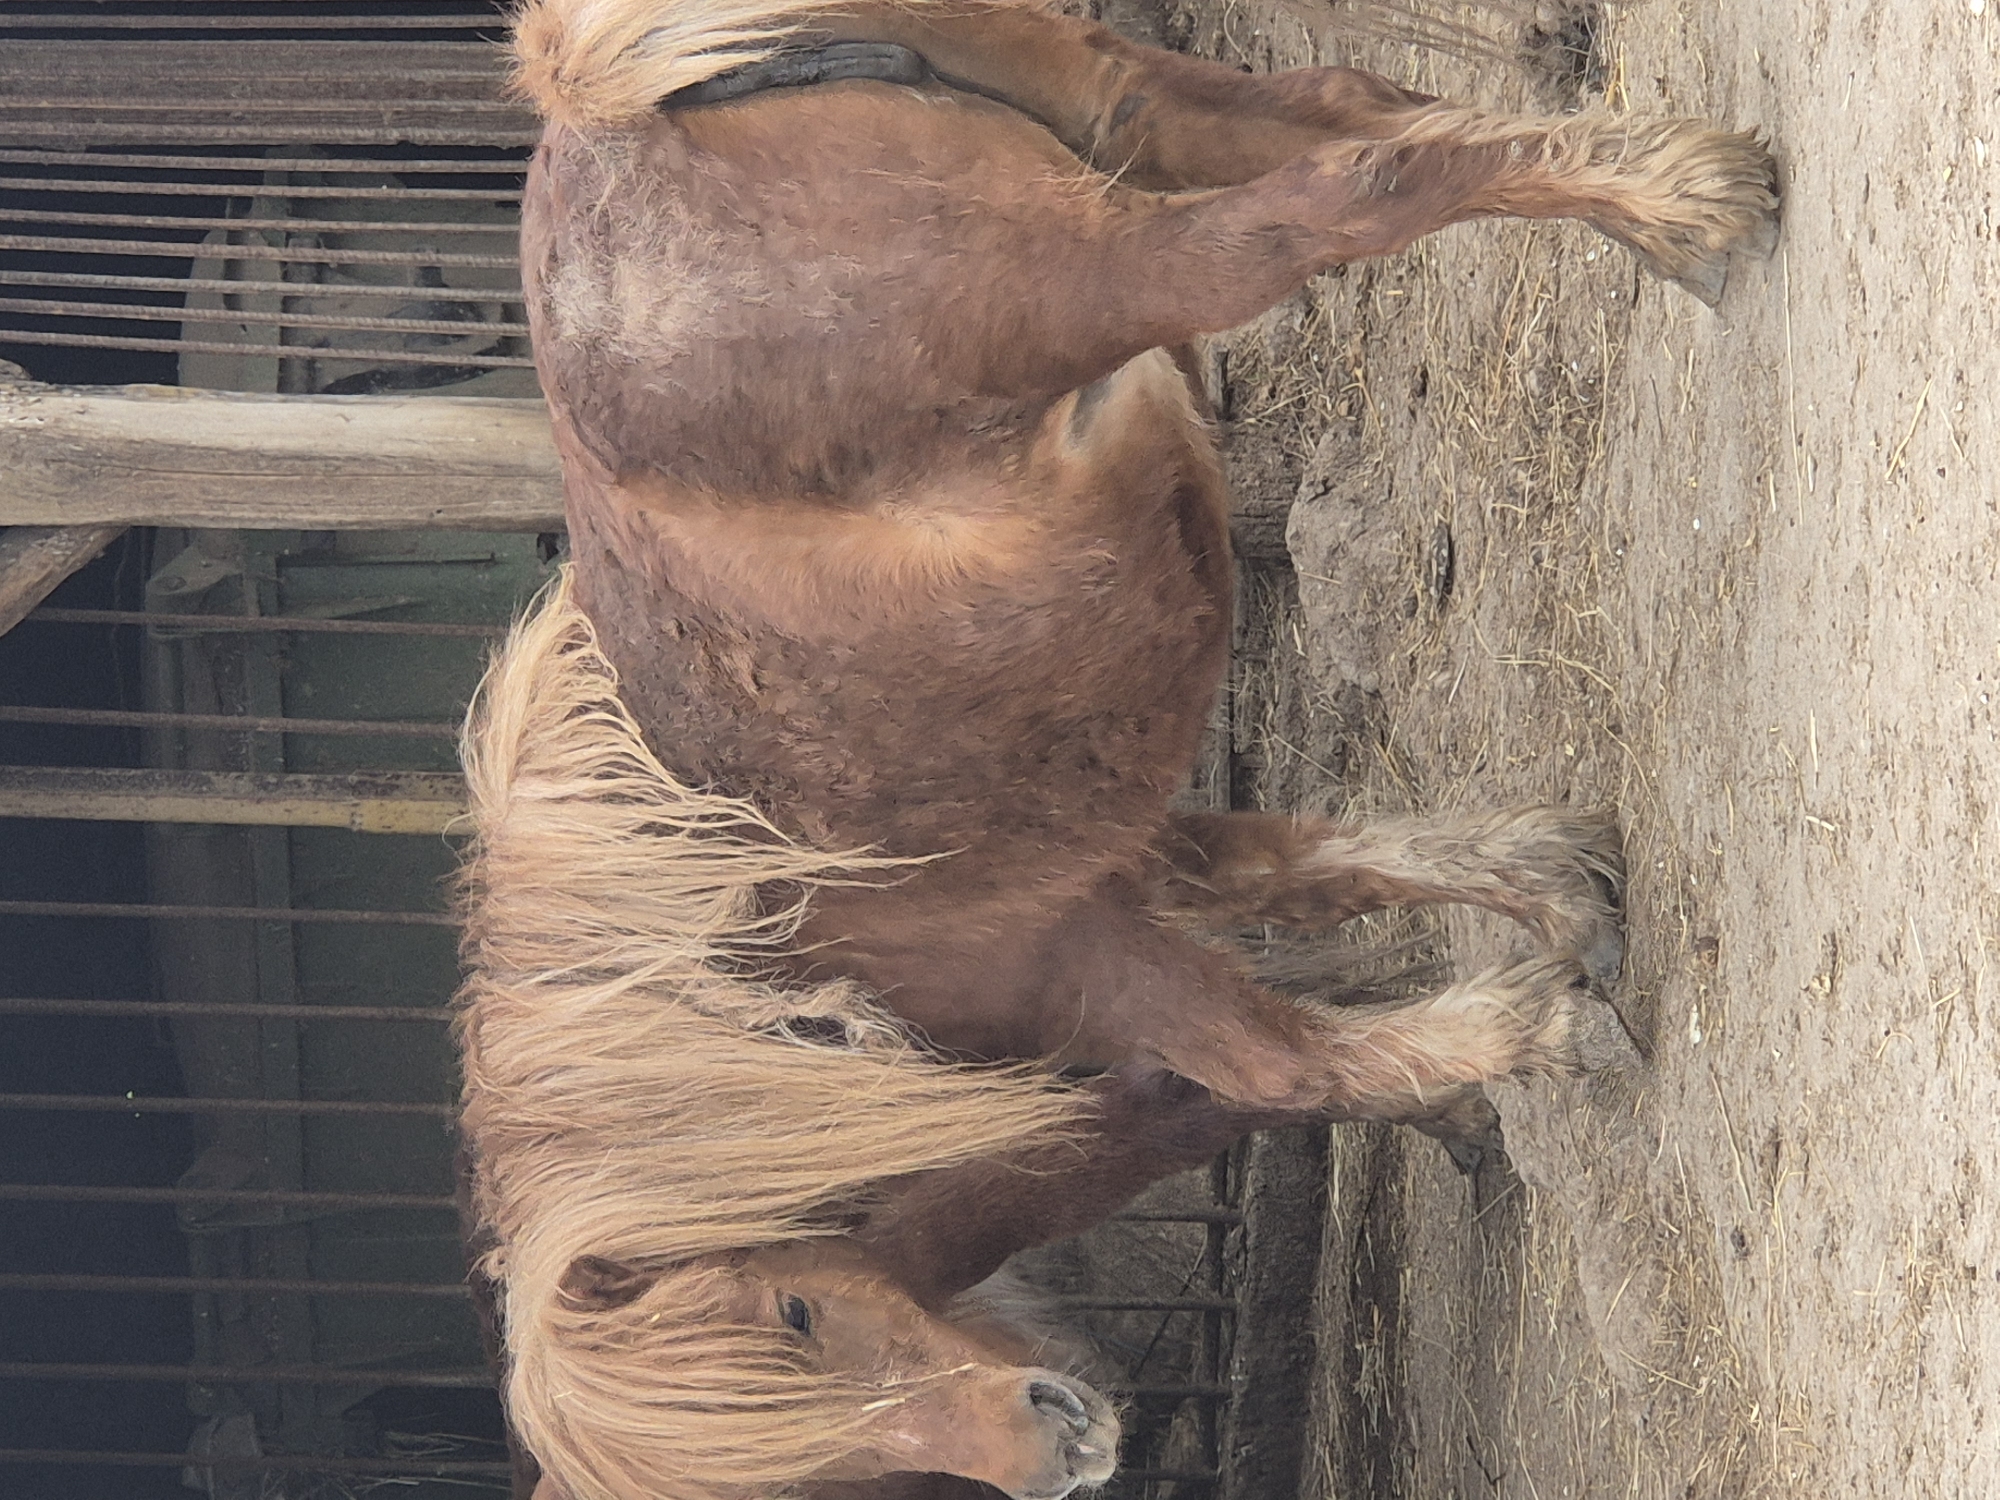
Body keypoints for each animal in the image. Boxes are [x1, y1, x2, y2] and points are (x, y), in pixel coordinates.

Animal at [457, 1, 1780, 1496]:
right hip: (1111, 114)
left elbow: (1281, 1065)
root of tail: (596, 115)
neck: (732, 978)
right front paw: (1548, 888)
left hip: (1083, 278)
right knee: (1338, 112)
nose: (1059, 1449)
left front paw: (1526, 1033)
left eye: (792, 1313)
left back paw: (1681, 206)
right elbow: (1317, 872)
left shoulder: (1074, 959)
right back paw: (1648, 181)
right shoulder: (1125, 857)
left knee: (1325, 201)